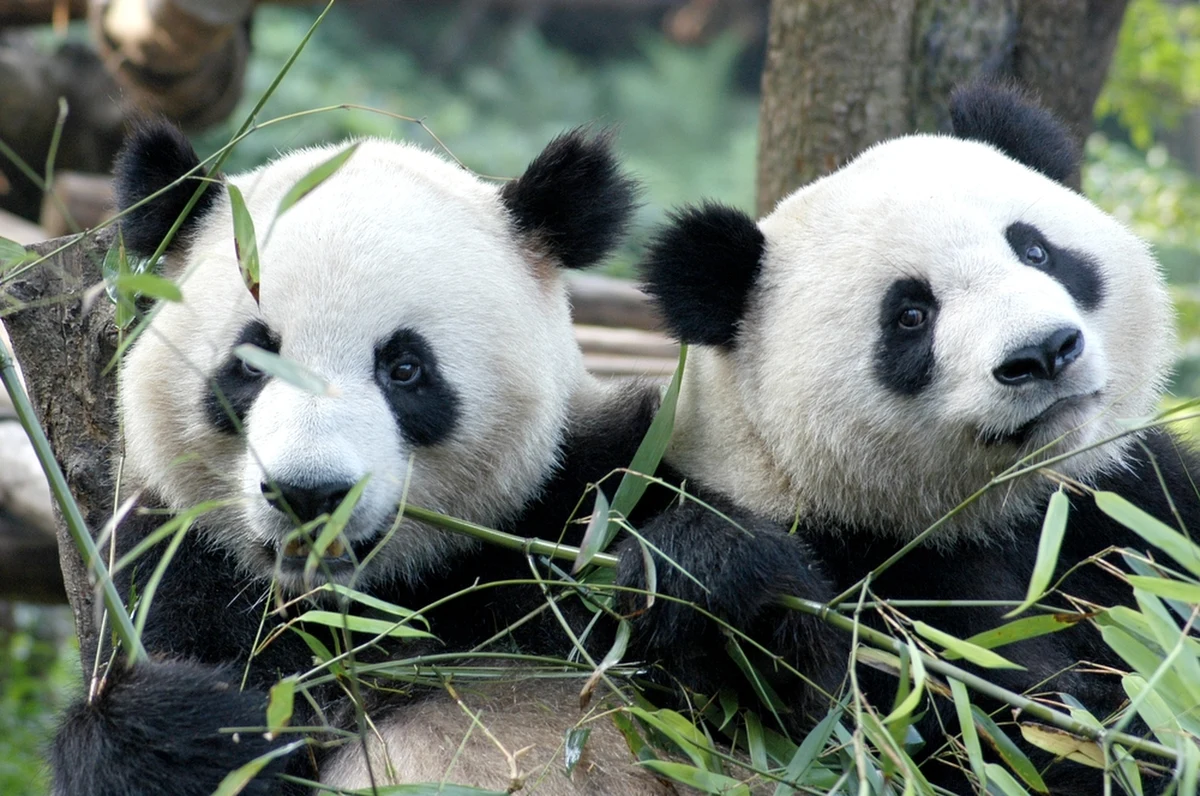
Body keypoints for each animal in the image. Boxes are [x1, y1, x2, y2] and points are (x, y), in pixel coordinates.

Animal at [49, 121, 686, 796]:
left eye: (404, 367)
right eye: (251, 363)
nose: (308, 493)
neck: (373, 604)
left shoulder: (582, 490)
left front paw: (671, 572)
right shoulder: (179, 570)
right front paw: (187, 727)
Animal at [627, 82, 1198, 794]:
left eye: (1036, 251)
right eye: (910, 315)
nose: (1043, 353)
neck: (998, 511)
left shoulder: (1127, 503)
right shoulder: (873, 572)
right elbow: (961, 726)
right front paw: (714, 568)